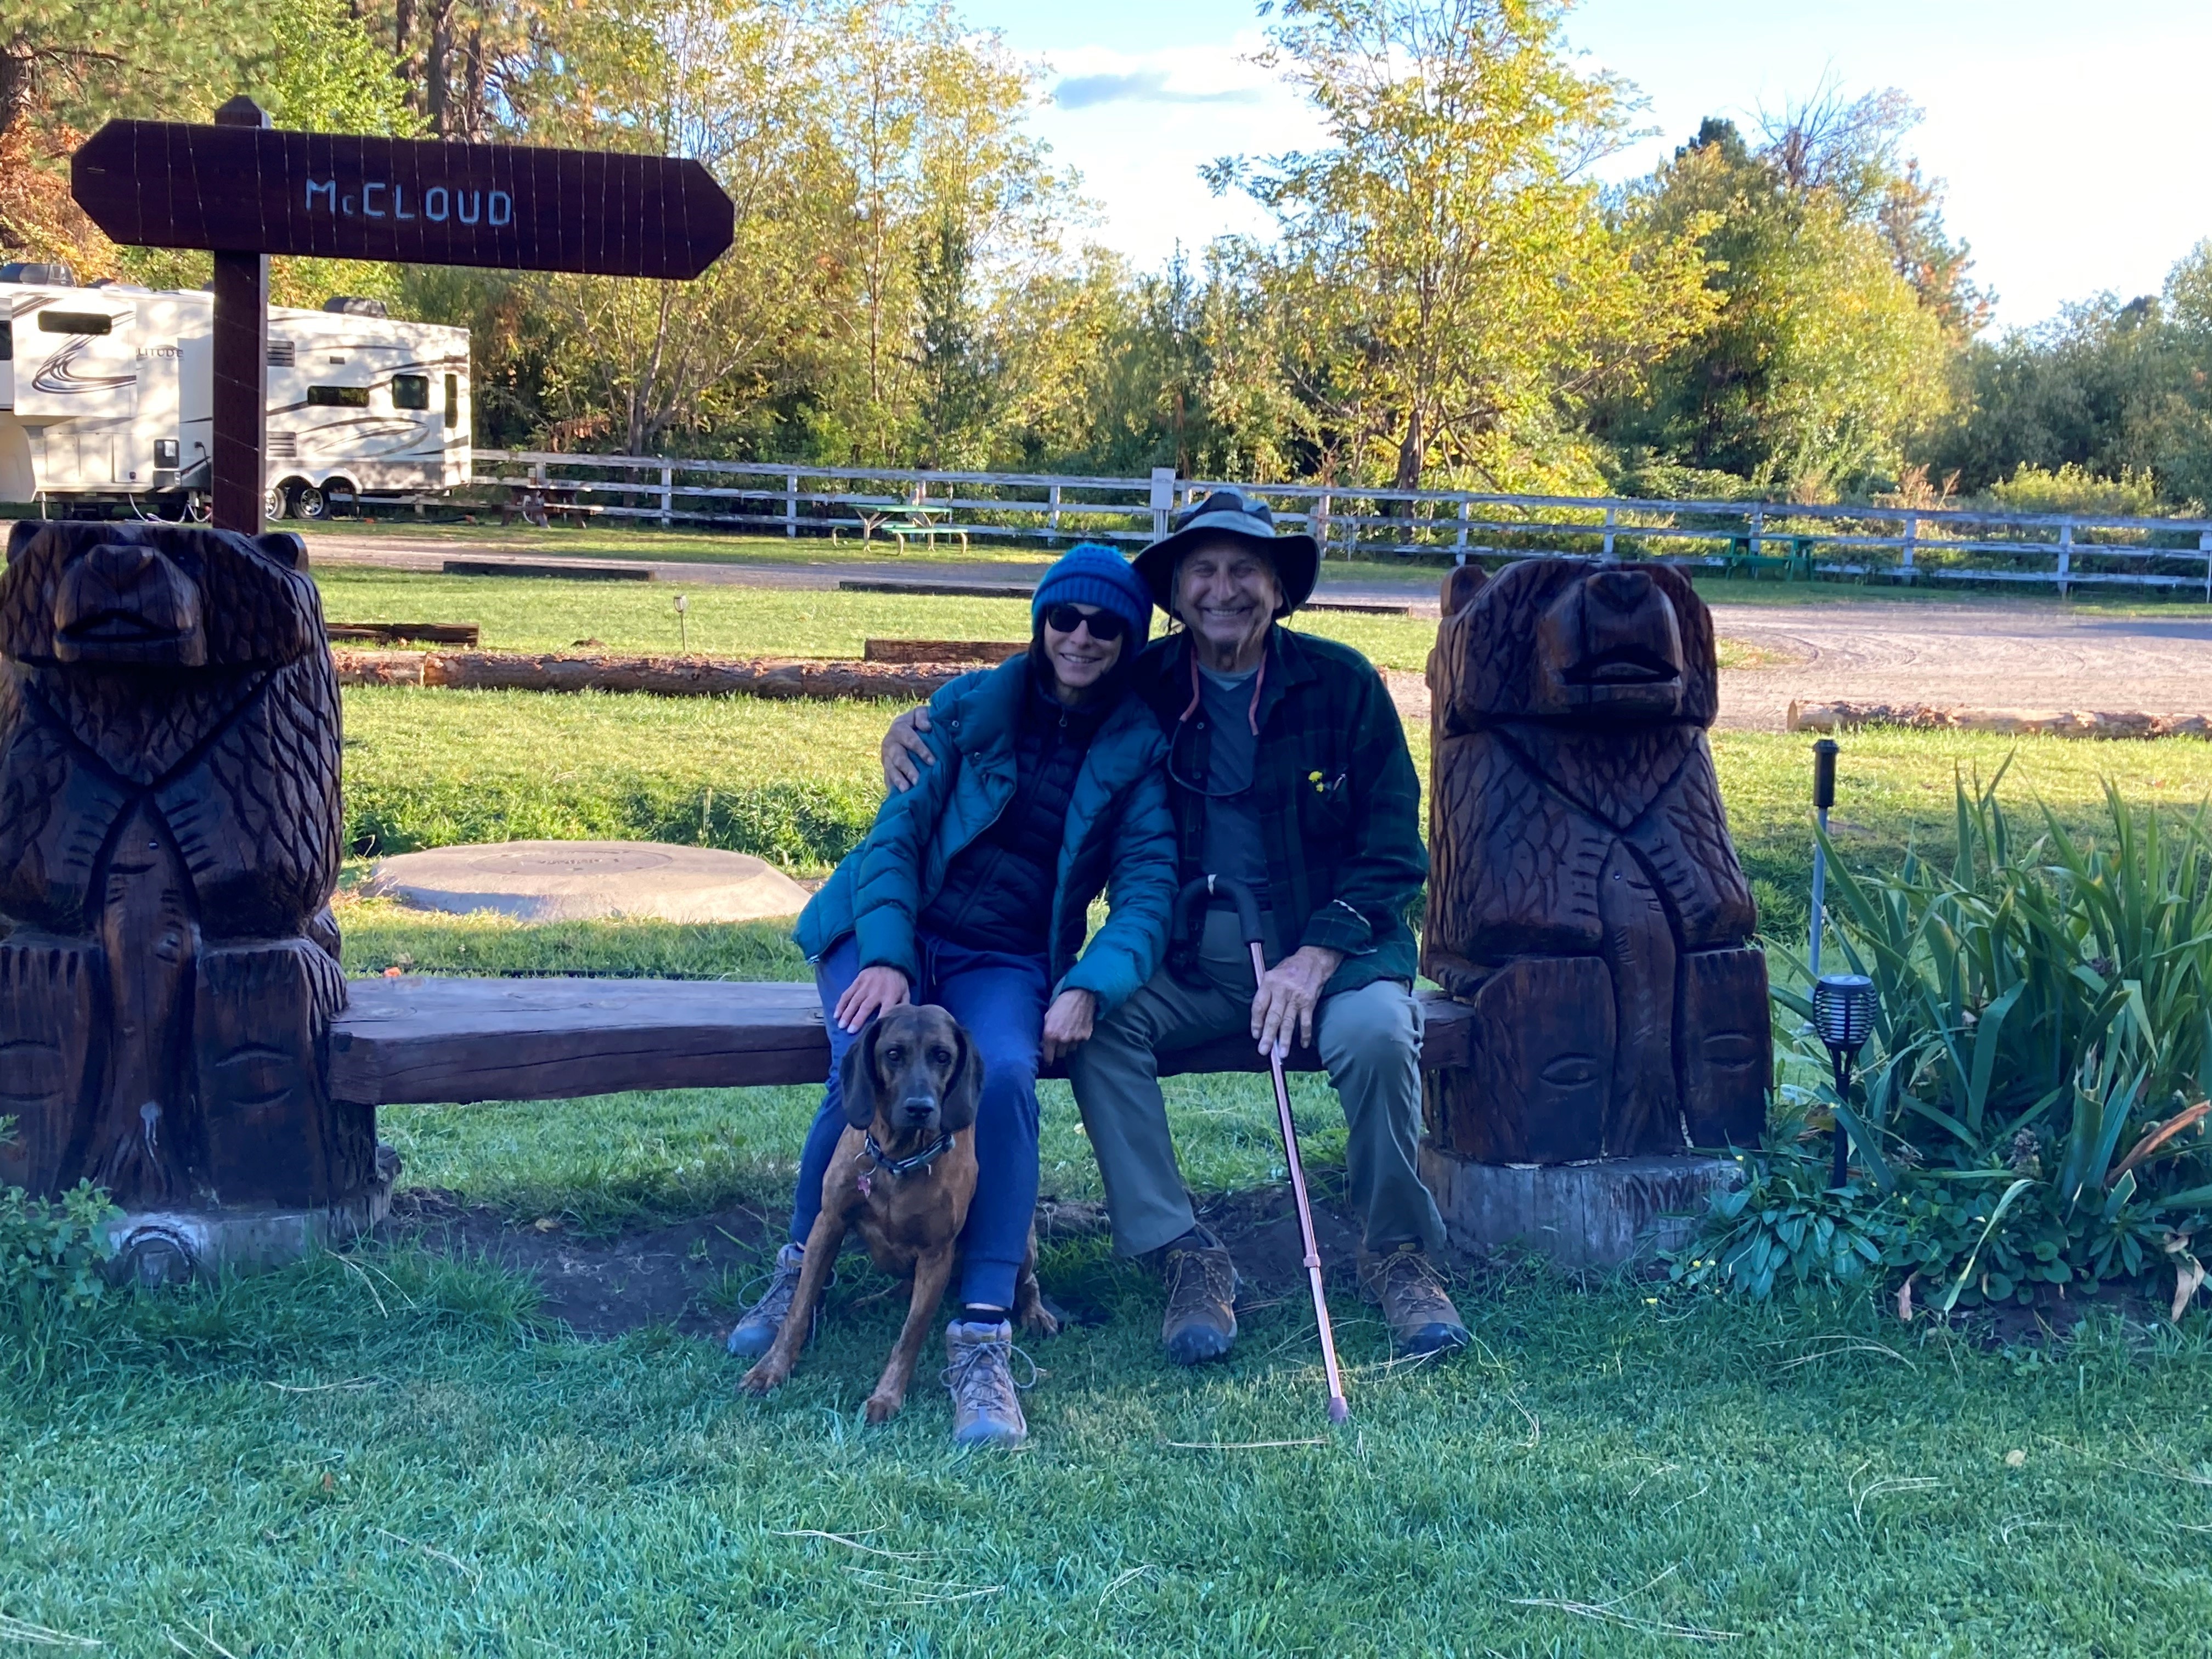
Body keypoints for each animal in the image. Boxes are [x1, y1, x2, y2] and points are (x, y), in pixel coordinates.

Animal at [738, 1008, 1057, 1424]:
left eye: (942, 1056)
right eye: (893, 1054)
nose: (920, 1107)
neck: (899, 1159)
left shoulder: (937, 1255)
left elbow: (910, 1334)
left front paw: (887, 1396)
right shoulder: (829, 1223)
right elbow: (798, 1308)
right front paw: (771, 1368)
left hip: (1023, 1247)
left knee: (1027, 1281)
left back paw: (1036, 1313)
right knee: (903, 1285)